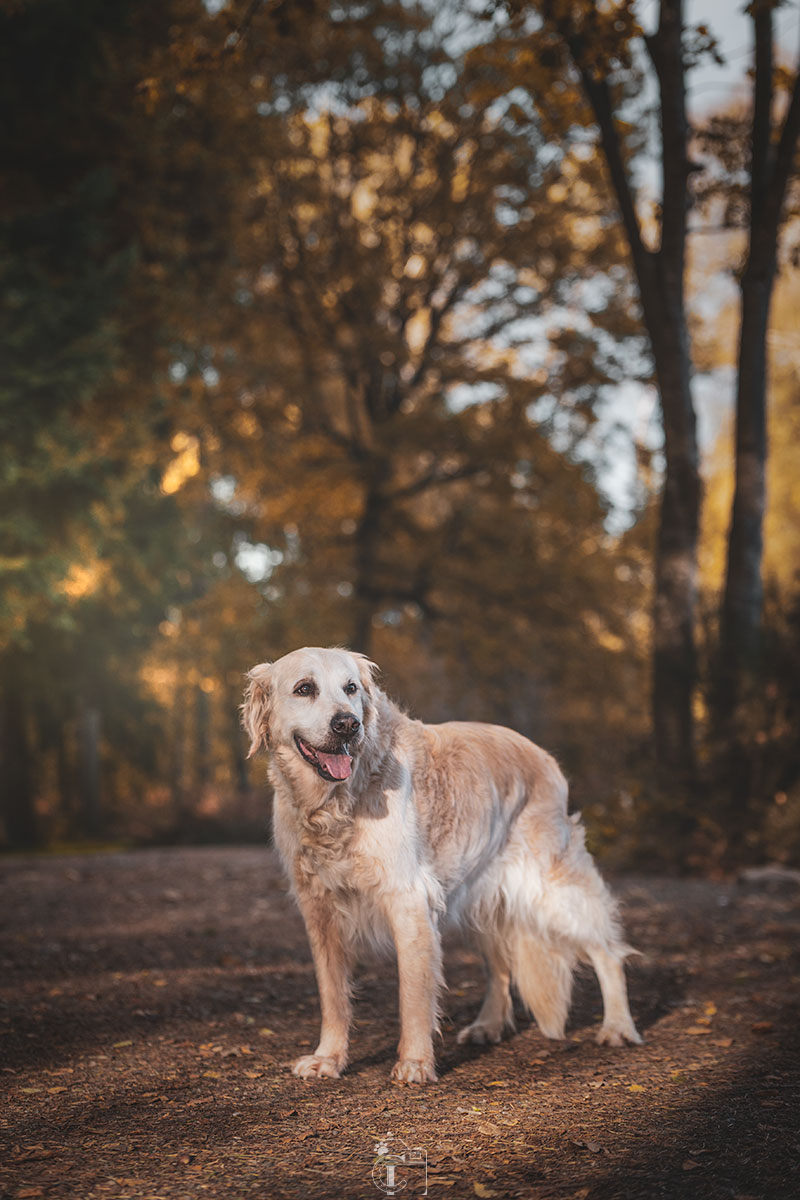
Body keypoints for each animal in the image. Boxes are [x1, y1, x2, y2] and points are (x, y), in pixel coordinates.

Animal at [241, 648, 642, 1089]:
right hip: (478, 893)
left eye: (351, 688)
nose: (348, 724)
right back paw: (488, 1025)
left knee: (606, 950)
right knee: (498, 963)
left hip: (549, 889)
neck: (334, 805)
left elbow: (413, 993)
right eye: (304, 689)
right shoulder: (319, 909)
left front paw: (415, 1063)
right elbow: (333, 995)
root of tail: (541, 754)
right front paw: (328, 1058)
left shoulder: (408, 899)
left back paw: (618, 1027)